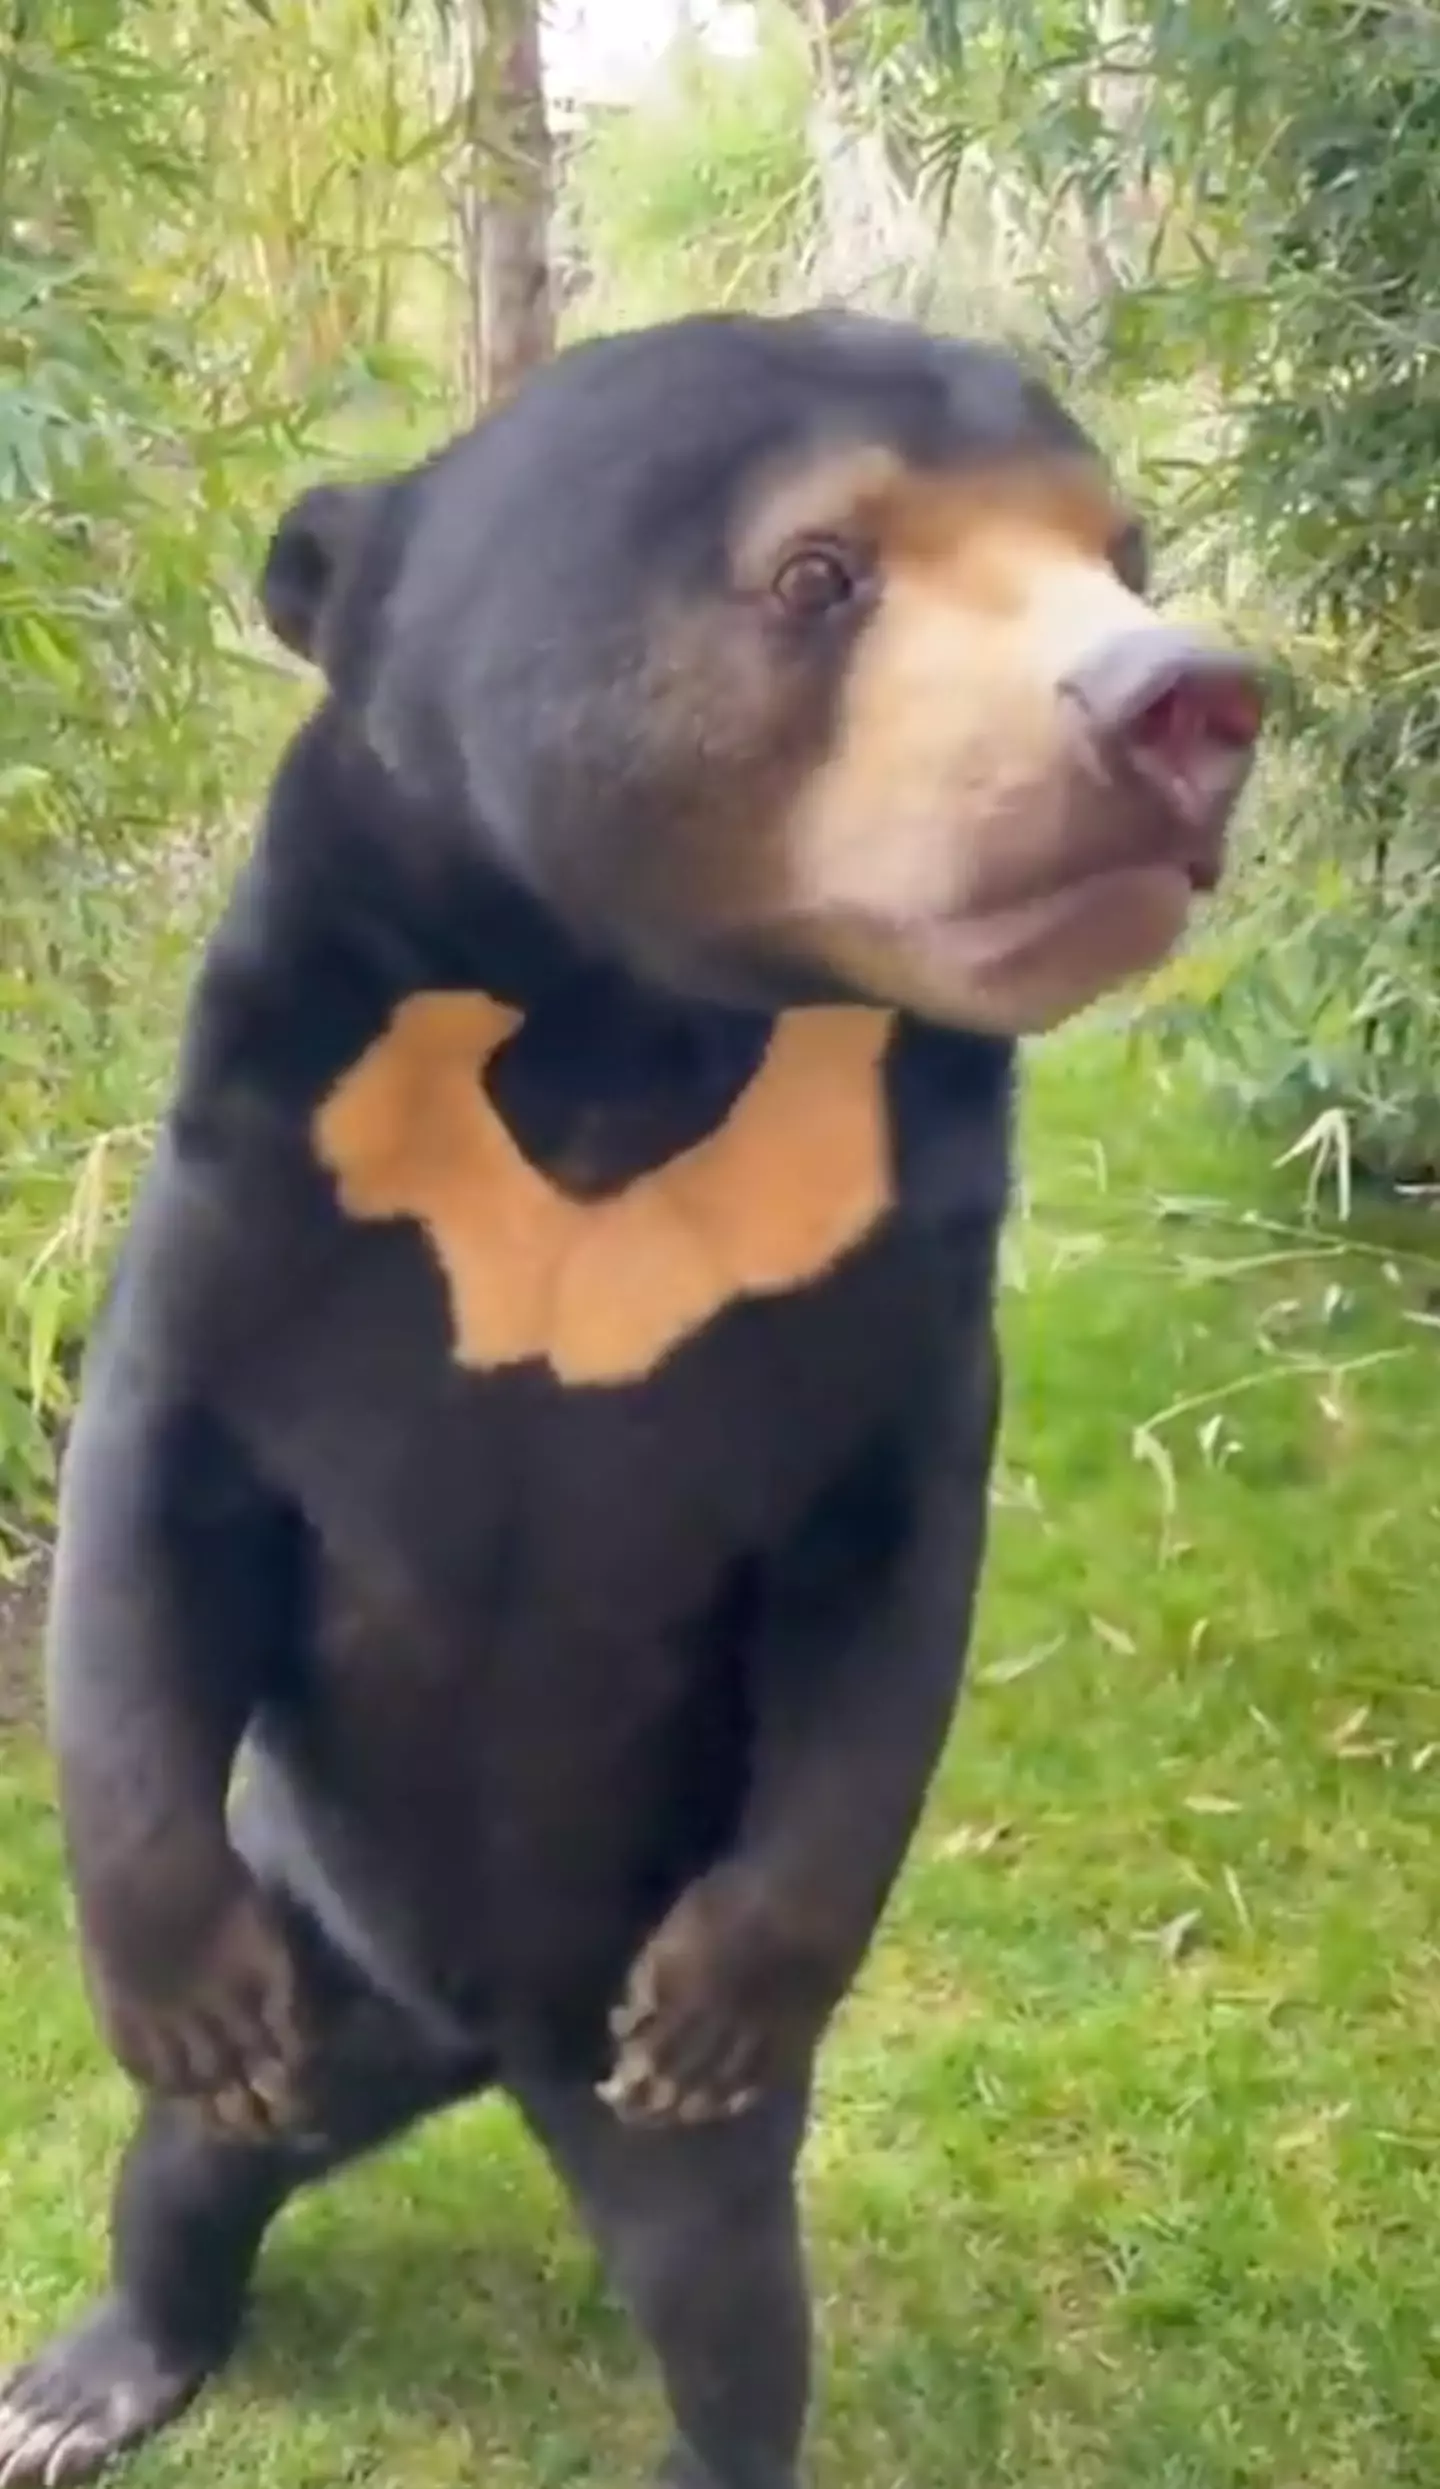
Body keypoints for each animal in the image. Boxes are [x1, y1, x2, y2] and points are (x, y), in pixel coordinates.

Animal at [0, 308, 1265, 2489]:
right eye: (820, 570)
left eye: (1124, 547)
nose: (1192, 697)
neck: (632, 1020)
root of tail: (474, 2044)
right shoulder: (266, 1151)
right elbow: (152, 1498)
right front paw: (171, 1984)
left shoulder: (901, 1269)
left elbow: (889, 1572)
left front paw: (743, 1981)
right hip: (318, 1945)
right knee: (188, 2169)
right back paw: (93, 2369)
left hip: (667, 2124)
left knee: (732, 2296)